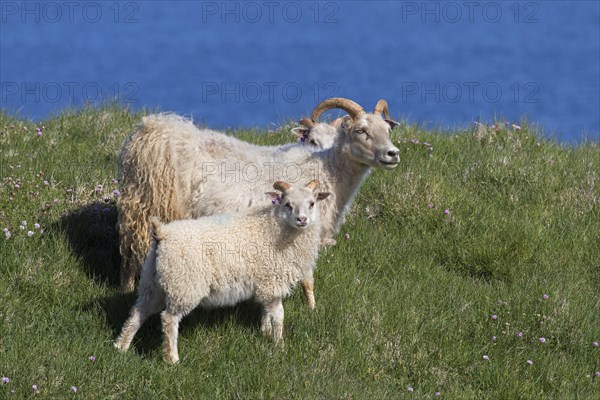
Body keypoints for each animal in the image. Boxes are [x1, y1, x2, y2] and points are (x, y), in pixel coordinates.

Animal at [114, 180, 330, 364]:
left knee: (138, 312)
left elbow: (265, 311)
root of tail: (163, 234)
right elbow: (279, 316)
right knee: (169, 319)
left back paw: (121, 346)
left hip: (153, 283)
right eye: (287, 204)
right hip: (184, 284)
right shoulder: (272, 280)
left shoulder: (265, 282)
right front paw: (279, 345)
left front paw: (265, 331)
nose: (302, 219)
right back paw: (172, 358)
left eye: (312, 203)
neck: (273, 227)